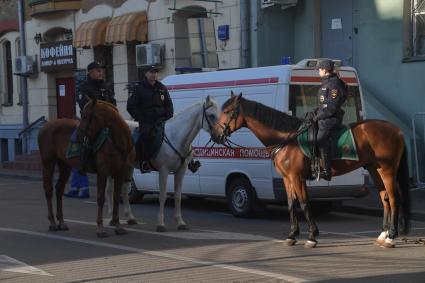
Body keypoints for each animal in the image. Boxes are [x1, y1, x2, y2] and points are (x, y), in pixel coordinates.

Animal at [38, 100, 135, 237]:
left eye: (84, 116)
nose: (77, 136)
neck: (116, 142)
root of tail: (46, 126)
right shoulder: (103, 172)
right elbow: (100, 198)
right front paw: (100, 228)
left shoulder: (120, 173)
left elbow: (116, 198)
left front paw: (117, 226)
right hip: (48, 163)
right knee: (48, 190)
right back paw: (52, 222)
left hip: (65, 166)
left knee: (59, 189)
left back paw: (61, 222)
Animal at [105, 96, 219, 232]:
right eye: (211, 115)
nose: (220, 135)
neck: (176, 138)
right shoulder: (164, 171)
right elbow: (163, 196)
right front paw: (160, 224)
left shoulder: (181, 171)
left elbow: (178, 196)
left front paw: (180, 222)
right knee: (110, 190)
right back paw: (111, 217)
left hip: (128, 167)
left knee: (124, 188)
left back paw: (130, 217)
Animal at [214, 94, 410, 250]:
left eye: (228, 111)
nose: (216, 135)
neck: (287, 139)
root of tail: (397, 130)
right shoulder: (287, 179)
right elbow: (291, 204)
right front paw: (292, 235)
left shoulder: (297, 177)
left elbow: (304, 204)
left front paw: (312, 237)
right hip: (375, 169)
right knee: (385, 199)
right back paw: (383, 235)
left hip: (387, 170)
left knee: (394, 199)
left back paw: (391, 237)